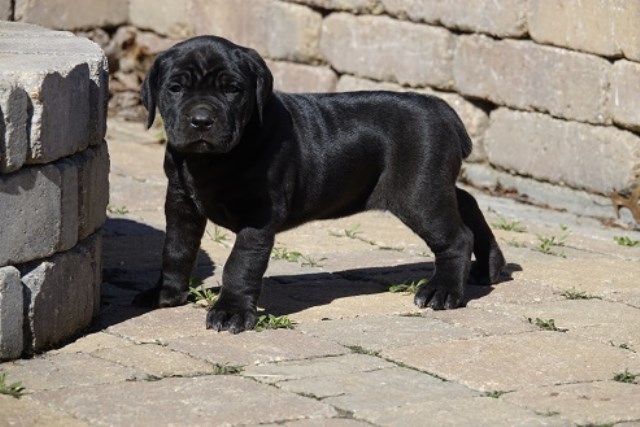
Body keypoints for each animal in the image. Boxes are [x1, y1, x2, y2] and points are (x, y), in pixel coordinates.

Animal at [134, 35, 504, 332]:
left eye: (232, 90)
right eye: (175, 88)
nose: (201, 121)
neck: (210, 161)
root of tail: (443, 109)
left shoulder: (258, 216)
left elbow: (240, 264)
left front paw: (231, 311)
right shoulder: (180, 202)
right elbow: (176, 249)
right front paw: (167, 293)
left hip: (419, 193)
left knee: (456, 237)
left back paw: (443, 291)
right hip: (433, 186)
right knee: (466, 202)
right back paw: (490, 267)